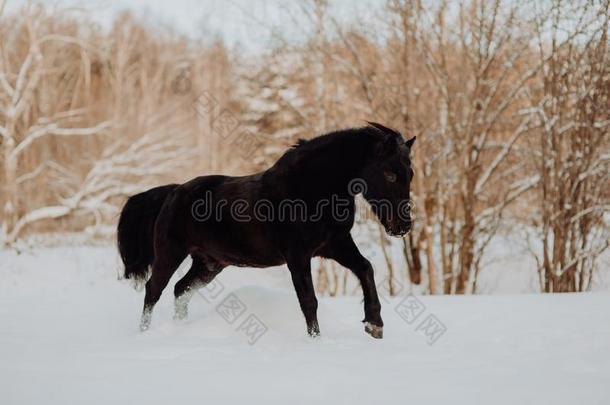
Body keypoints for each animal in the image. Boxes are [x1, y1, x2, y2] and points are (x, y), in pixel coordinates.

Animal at [118, 122, 414, 338]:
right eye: (389, 174)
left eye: (409, 174)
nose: (403, 226)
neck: (311, 188)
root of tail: (173, 191)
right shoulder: (298, 255)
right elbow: (309, 300)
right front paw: (316, 340)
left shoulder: (335, 244)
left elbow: (366, 269)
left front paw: (375, 325)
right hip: (170, 253)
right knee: (154, 289)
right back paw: (144, 334)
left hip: (209, 264)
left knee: (181, 289)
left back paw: (181, 328)